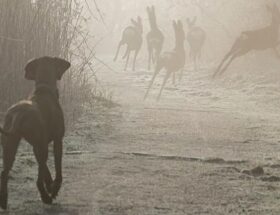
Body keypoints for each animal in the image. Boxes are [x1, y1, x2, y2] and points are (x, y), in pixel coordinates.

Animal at [0, 56, 70, 209]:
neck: (44, 89)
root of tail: (18, 113)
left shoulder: (37, 145)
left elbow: (45, 169)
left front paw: (50, 185)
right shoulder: (57, 140)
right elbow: (57, 170)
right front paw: (54, 188)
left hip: (9, 145)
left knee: (4, 173)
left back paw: (4, 201)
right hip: (37, 145)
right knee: (37, 180)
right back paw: (46, 198)